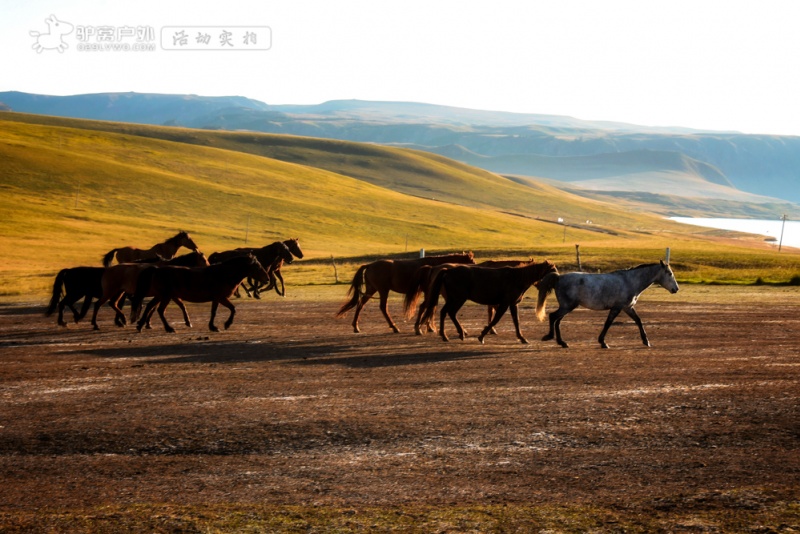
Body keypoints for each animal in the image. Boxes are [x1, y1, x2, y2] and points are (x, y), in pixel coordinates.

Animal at [134, 253, 272, 332]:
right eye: (258, 266)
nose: (267, 279)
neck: (223, 274)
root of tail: (157, 269)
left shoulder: (219, 298)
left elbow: (228, 309)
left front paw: (218, 325)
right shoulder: (219, 297)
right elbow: (221, 311)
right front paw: (219, 326)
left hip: (160, 296)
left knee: (149, 306)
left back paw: (140, 325)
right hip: (165, 296)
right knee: (160, 310)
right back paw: (169, 328)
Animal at [332, 252, 472, 336]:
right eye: (472, 262)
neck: (435, 267)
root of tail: (370, 265)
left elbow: (431, 307)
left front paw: (429, 327)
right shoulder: (429, 291)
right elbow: (428, 307)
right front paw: (425, 327)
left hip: (371, 289)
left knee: (360, 304)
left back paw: (356, 327)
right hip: (383, 290)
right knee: (383, 307)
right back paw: (394, 327)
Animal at [418, 262, 556, 346]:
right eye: (552, 271)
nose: (555, 283)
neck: (516, 278)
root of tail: (448, 270)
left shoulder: (513, 304)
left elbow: (516, 321)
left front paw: (522, 338)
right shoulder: (504, 303)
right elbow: (495, 320)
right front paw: (482, 336)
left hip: (454, 299)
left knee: (446, 312)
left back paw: (449, 335)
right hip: (458, 299)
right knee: (450, 312)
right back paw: (453, 334)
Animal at [536, 260, 680, 352]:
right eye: (669, 273)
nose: (676, 289)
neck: (629, 281)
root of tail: (559, 277)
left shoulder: (627, 307)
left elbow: (638, 321)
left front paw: (646, 341)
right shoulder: (617, 308)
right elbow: (608, 323)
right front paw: (603, 342)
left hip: (567, 307)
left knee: (557, 321)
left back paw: (562, 343)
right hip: (567, 306)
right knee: (553, 317)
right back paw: (550, 337)